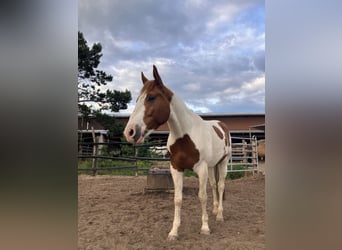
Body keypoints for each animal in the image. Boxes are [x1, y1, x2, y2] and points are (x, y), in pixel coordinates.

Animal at [124, 65, 231, 240]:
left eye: (151, 97)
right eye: (137, 99)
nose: (130, 132)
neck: (185, 135)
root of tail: (221, 125)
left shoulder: (201, 169)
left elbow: (202, 196)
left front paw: (205, 227)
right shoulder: (176, 168)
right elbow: (178, 199)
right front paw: (173, 231)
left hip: (223, 162)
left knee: (221, 186)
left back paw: (220, 215)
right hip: (212, 166)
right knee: (214, 185)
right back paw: (215, 210)